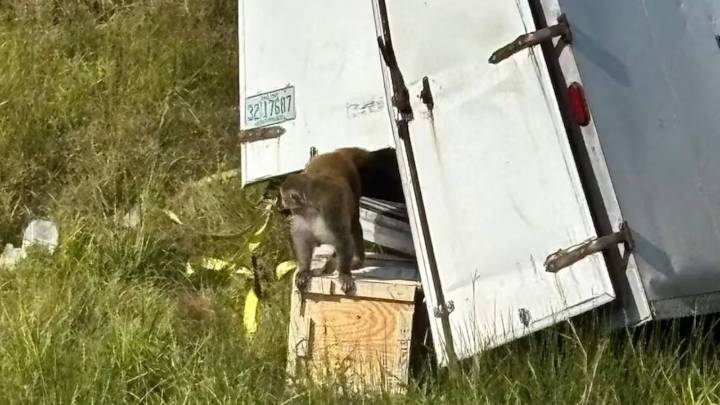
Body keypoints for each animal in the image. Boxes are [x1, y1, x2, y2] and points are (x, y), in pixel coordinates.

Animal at [279, 147, 369, 294]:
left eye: (283, 197)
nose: (280, 203)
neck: (310, 208)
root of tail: (336, 153)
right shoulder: (301, 215)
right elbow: (302, 239)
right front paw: (304, 270)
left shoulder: (330, 208)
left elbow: (342, 239)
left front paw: (344, 274)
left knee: (354, 223)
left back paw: (356, 259)